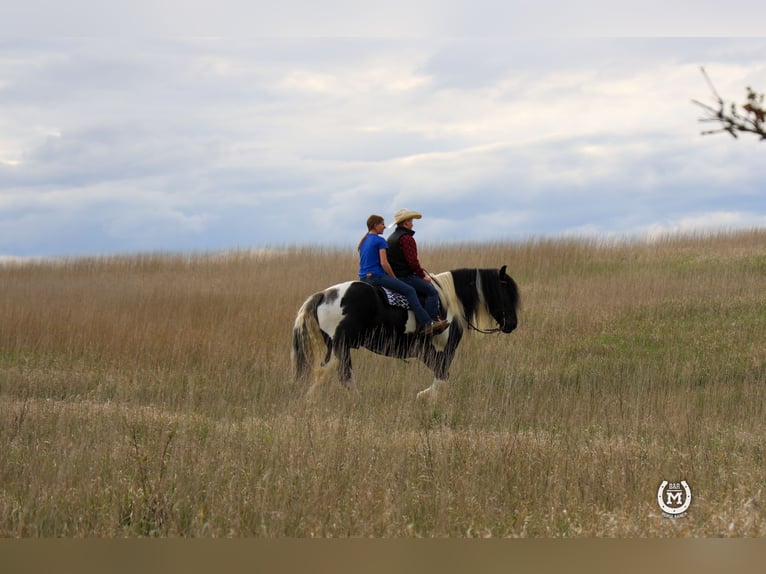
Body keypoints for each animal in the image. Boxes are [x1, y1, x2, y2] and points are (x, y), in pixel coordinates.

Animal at [294, 266, 520, 398]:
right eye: (505, 291)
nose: (513, 323)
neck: (449, 301)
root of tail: (324, 295)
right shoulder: (436, 349)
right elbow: (442, 376)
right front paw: (424, 396)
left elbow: (442, 376)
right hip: (340, 345)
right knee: (337, 374)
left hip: (338, 347)